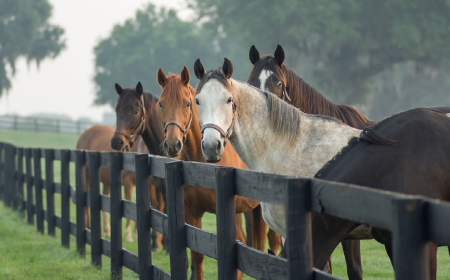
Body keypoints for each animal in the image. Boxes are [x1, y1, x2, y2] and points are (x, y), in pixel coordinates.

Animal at [156, 66, 280, 280]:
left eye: (187, 103)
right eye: (161, 104)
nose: (173, 144)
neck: (201, 166)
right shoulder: (192, 213)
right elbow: (197, 255)